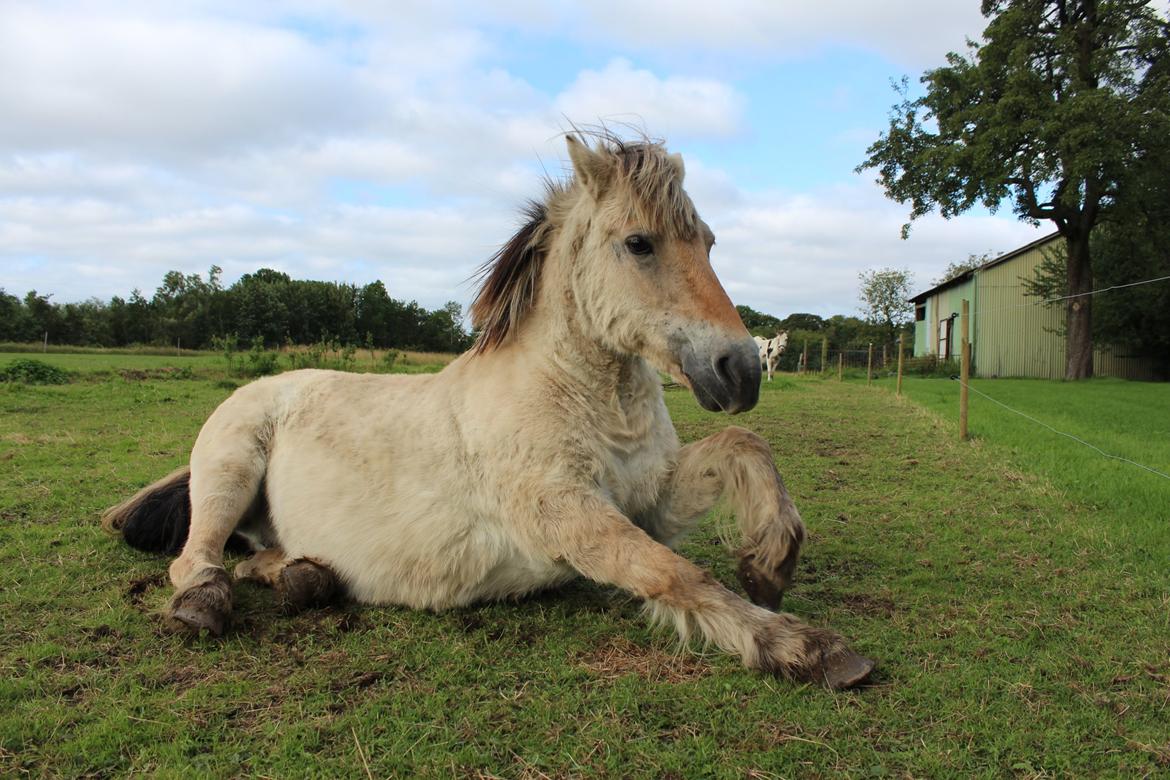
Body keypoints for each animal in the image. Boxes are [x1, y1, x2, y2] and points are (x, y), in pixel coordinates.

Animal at [105, 132, 875, 687]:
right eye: (639, 243)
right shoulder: (567, 514)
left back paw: (306, 578)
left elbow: (746, 447)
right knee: (198, 559)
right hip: (230, 468)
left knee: (256, 560)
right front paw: (804, 647)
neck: (583, 402)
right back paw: (204, 604)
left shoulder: (649, 499)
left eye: (709, 243)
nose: (740, 370)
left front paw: (770, 567)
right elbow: (672, 573)